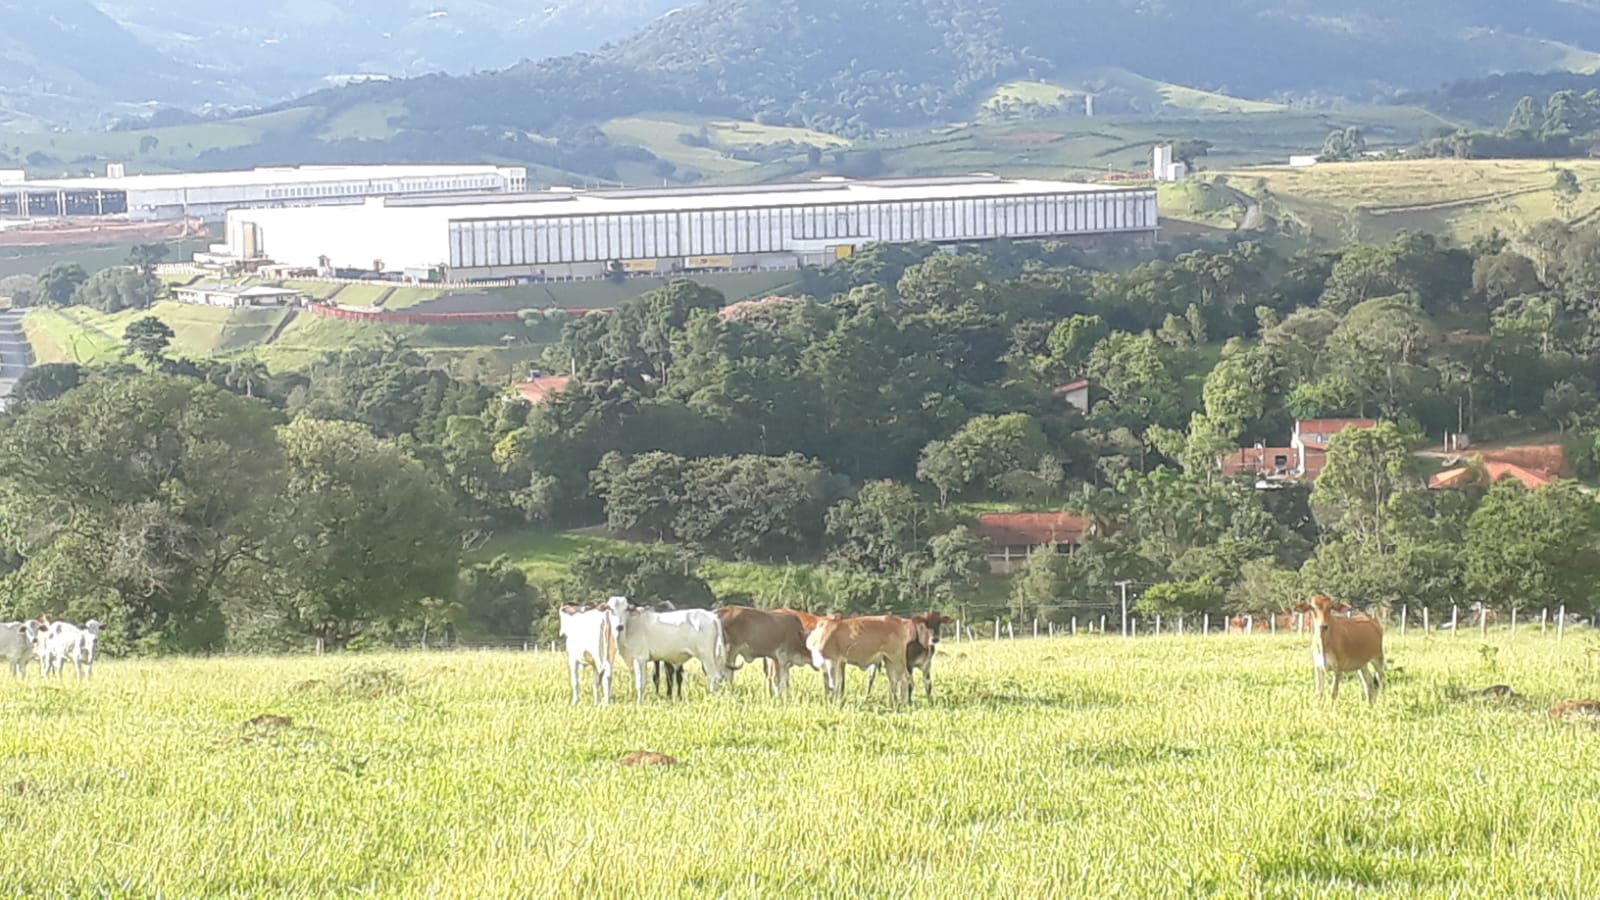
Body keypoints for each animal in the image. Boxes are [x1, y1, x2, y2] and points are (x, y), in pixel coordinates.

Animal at [604, 595, 732, 701]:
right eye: (610, 609)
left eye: (626, 609)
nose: (619, 626)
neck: (631, 625)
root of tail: (711, 615)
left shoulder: (640, 658)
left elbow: (640, 684)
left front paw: (639, 702)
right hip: (713, 657)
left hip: (706, 656)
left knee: (714, 676)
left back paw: (711, 697)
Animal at [806, 611, 934, 704]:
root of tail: (898, 620)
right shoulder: (837, 663)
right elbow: (837, 684)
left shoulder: (832, 661)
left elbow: (833, 685)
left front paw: (833, 703)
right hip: (889, 660)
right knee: (894, 680)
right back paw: (893, 703)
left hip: (897, 659)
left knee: (906, 679)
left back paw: (904, 704)